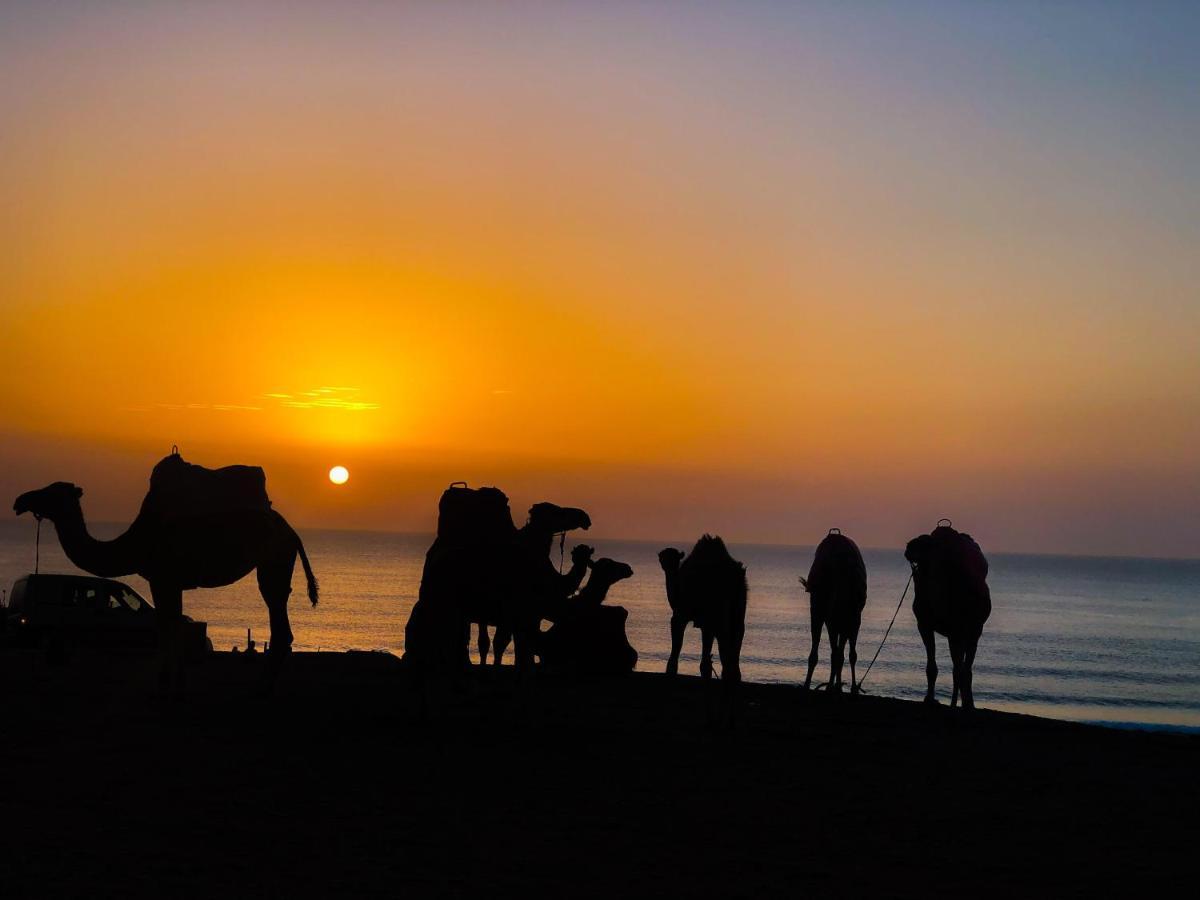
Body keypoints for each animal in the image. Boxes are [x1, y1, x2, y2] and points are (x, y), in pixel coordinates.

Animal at [15, 468, 314, 686]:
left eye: (52, 491)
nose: (21, 500)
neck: (136, 542)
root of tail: (291, 532)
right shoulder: (171, 582)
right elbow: (174, 627)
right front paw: (176, 681)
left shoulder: (161, 578)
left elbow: (166, 628)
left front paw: (166, 684)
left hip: (274, 560)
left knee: (277, 609)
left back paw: (263, 685)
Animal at [662, 535, 744, 720]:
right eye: (663, 557)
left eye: (673, 558)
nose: (666, 565)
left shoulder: (680, 616)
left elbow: (674, 662)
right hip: (738, 620)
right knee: (733, 667)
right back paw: (730, 718)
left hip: (716, 619)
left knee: (721, 665)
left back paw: (718, 716)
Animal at [801, 525, 868, 696]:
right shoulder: (832, 619)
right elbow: (835, 653)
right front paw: (831, 686)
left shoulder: (849, 620)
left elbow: (844, 654)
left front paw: (848, 687)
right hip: (824, 612)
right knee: (832, 649)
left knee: (839, 651)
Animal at [902, 520, 988, 710]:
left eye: (924, 541)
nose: (908, 547)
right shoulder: (924, 624)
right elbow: (932, 667)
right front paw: (929, 698)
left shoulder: (965, 631)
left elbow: (962, 670)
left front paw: (964, 703)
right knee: (959, 668)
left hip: (969, 631)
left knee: (962, 669)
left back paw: (963, 702)